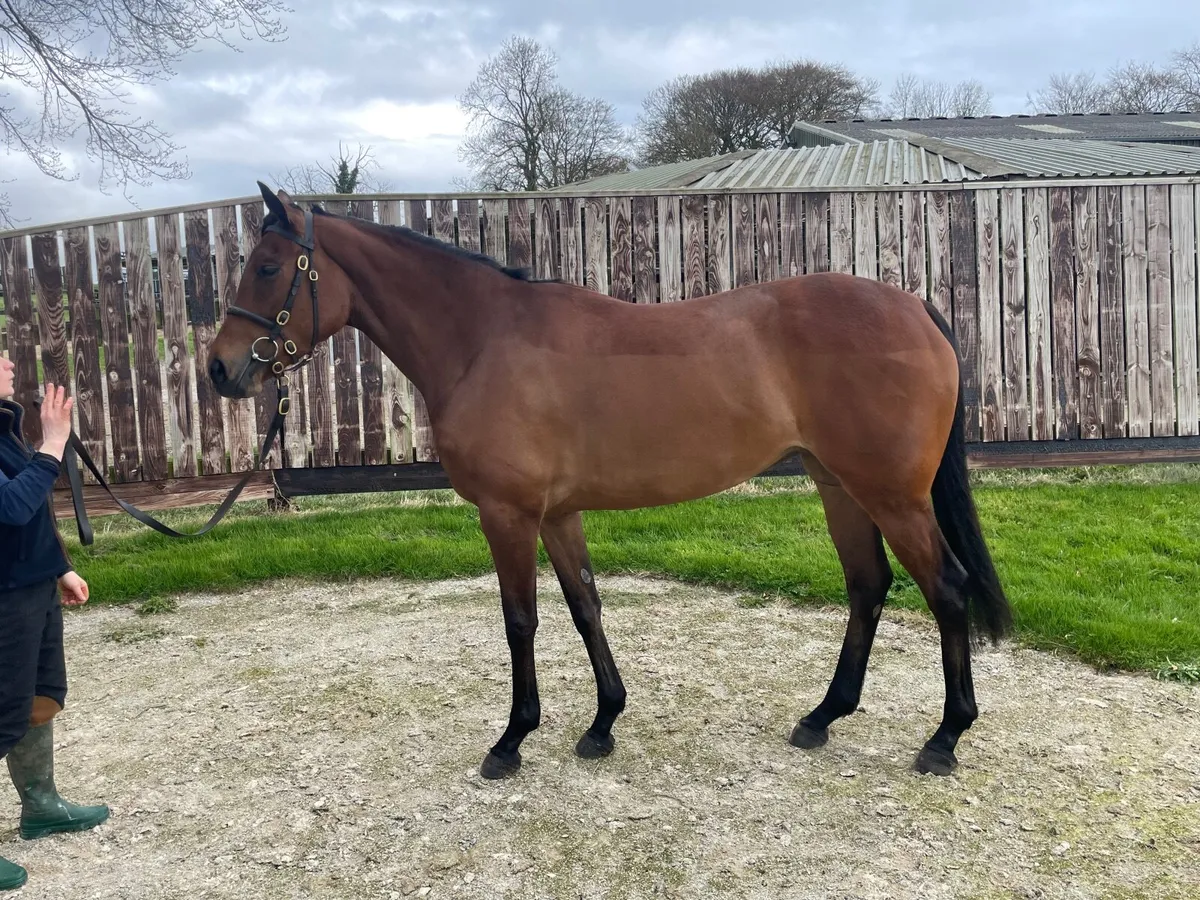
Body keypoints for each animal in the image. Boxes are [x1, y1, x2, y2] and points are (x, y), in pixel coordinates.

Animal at [207, 181, 1012, 781]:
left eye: (269, 268)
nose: (221, 368)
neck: (483, 340)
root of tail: (915, 308)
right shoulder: (558, 514)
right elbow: (585, 607)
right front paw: (602, 724)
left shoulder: (507, 513)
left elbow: (521, 620)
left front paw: (511, 741)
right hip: (839, 486)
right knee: (868, 586)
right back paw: (821, 717)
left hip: (891, 495)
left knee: (946, 588)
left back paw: (945, 738)